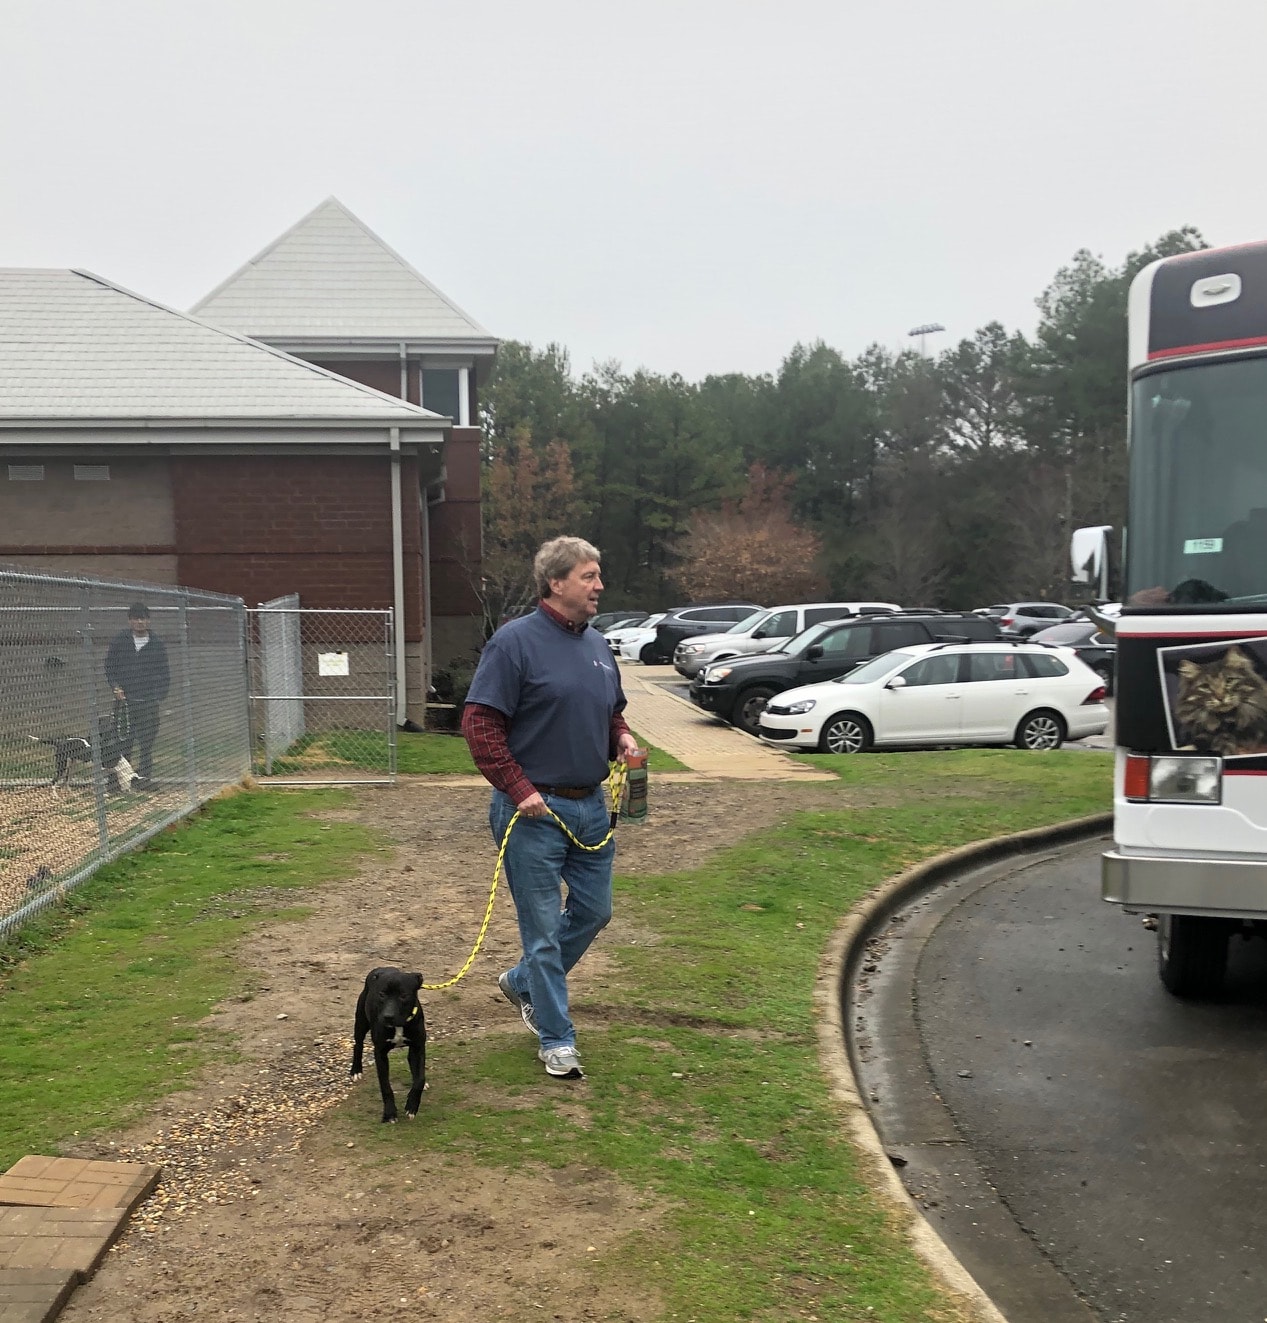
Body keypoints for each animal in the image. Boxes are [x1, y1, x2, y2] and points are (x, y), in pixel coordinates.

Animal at [349, 968, 428, 1121]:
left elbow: (420, 1079)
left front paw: (412, 1105)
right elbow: (385, 1085)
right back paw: (356, 1070)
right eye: (382, 994)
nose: (388, 1016)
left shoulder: (418, 1046)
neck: (399, 1025)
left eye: (403, 995)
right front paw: (390, 1113)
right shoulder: (380, 1053)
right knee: (358, 1045)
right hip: (361, 1022)